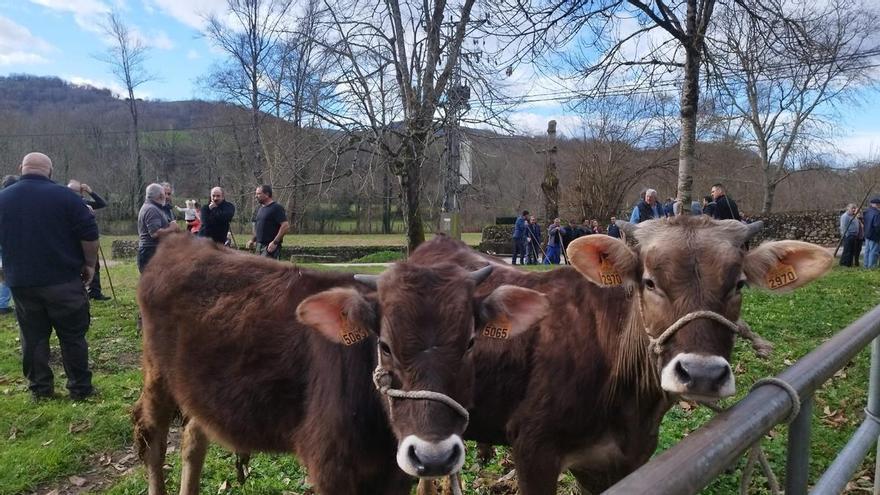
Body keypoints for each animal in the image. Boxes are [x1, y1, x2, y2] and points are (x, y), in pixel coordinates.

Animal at [133, 233, 548, 495]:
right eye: (384, 345)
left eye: (470, 343)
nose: (435, 456)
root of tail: (180, 237)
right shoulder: (331, 468)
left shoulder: (395, 474)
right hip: (157, 373)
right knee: (152, 435)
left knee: (194, 437)